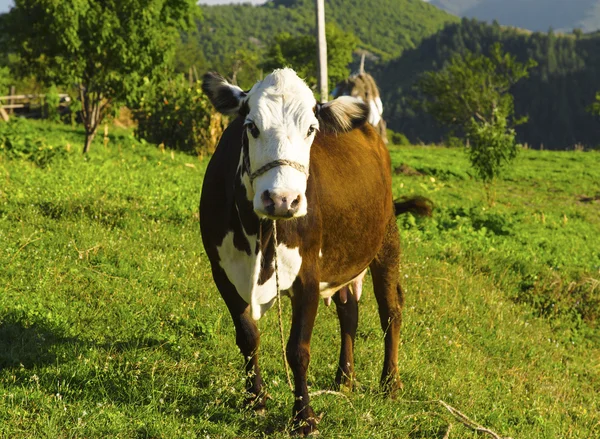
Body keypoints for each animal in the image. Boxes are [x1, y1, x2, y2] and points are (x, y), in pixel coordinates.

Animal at [202, 69, 426, 436]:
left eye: (311, 129)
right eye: (251, 126)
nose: (282, 199)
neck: (260, 232)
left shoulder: (307, 275)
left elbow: (298, 351)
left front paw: (304, 418)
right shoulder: (222, 272)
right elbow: (248, 337)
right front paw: (255, 400)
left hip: (386, 242)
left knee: (391, 311)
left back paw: (390, 383)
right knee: (349, 312)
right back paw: (344, 379)